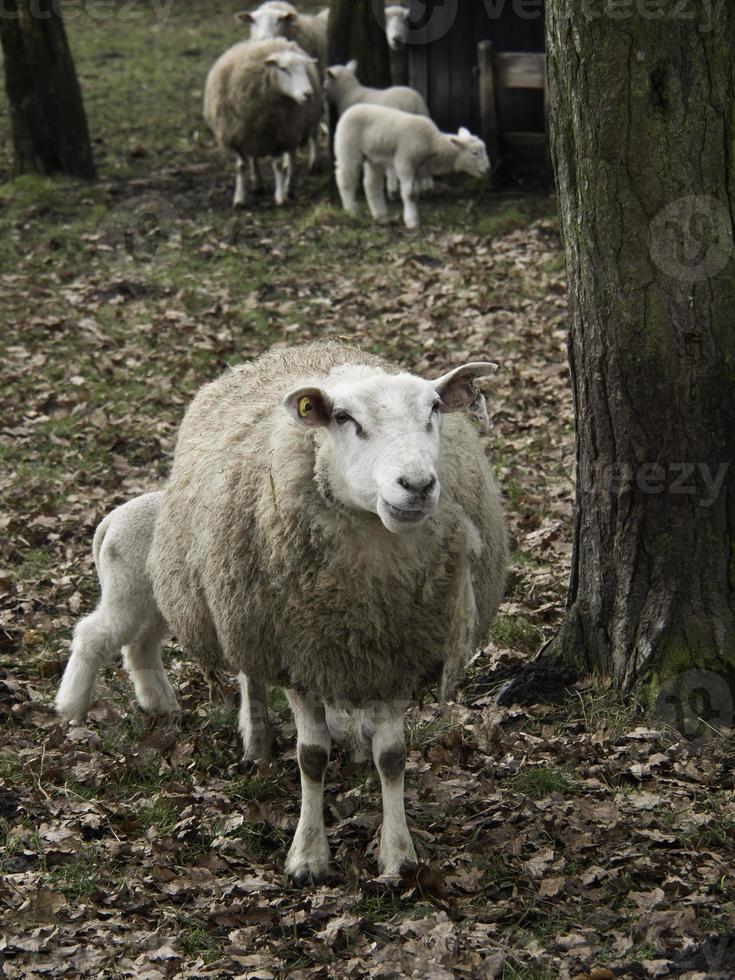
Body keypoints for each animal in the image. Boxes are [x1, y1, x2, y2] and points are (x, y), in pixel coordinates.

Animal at [206, 38, 324, 207]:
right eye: (283, 69)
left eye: (305, 68)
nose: (308, 94)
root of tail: (277, 40)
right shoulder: (235, 135)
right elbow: (241, 166)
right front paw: (239, 198)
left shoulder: (279, 135)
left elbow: (278, 165)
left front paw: (280, 196)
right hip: (253, 134)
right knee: (254, 157)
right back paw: (257, 184)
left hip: (292, 129)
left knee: (292, 158)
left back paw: (289, 187)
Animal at [336, 104, 492, 229]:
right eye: (475, 153)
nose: (488, 169)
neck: (432, 143)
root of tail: (350, 109)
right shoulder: (405, 162)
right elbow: (410, 194)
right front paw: (412, 222)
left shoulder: (418, 169)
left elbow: (415, 194)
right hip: (348, 149)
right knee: (346, 180)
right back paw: (352, 212)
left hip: (373, 157)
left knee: (370, 184)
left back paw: (381, 216)